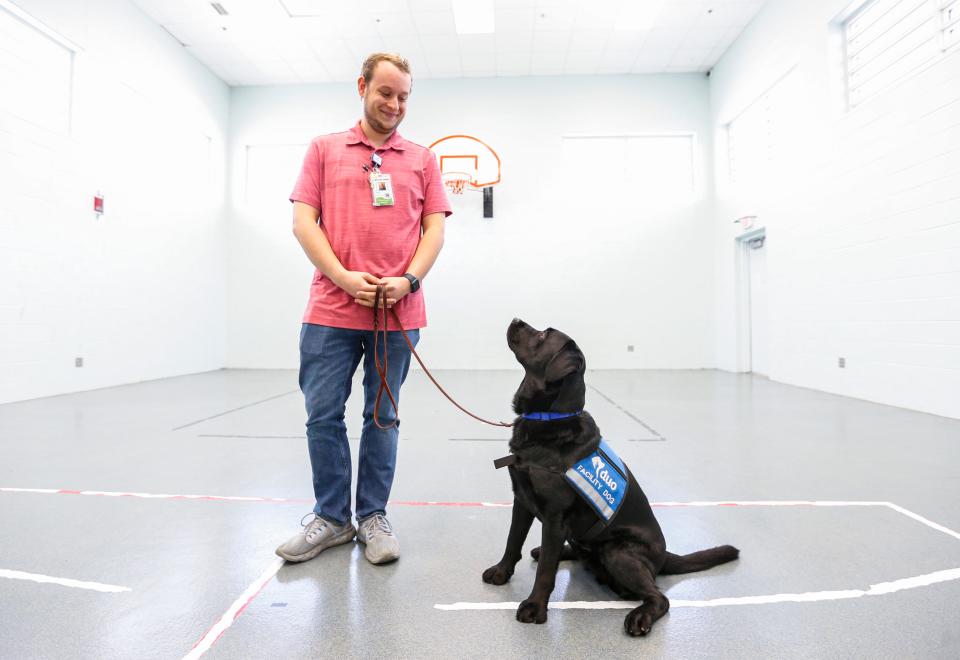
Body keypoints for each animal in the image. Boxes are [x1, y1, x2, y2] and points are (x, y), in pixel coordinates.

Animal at [484, 320, 740, 640]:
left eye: (542, 335)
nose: (515, 320)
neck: (549, 417)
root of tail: (664, 556)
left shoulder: (554, 515)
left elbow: (545, 571)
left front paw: (534, 606)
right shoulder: (521, 497)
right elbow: (513, 540)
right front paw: (501, 572)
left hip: (617, 552)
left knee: (659, 597)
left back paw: (639, 617)